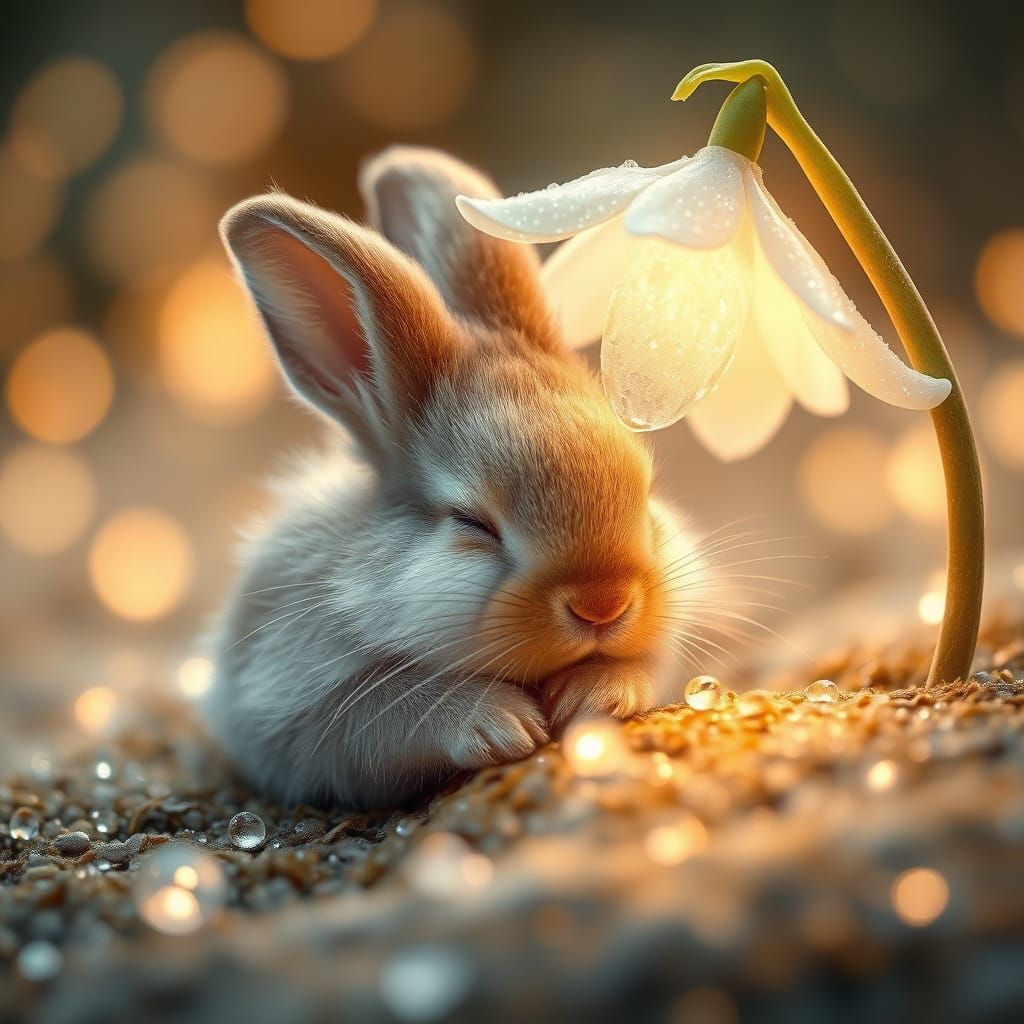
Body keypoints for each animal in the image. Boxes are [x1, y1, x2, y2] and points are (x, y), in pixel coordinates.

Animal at [206, 147, 707, 810]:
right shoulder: (301, 702)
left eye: (644, 492)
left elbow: (640, 665)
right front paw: (501, 723)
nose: (604, 605)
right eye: (473, 523)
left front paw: (592, 697)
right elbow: (397, 708)